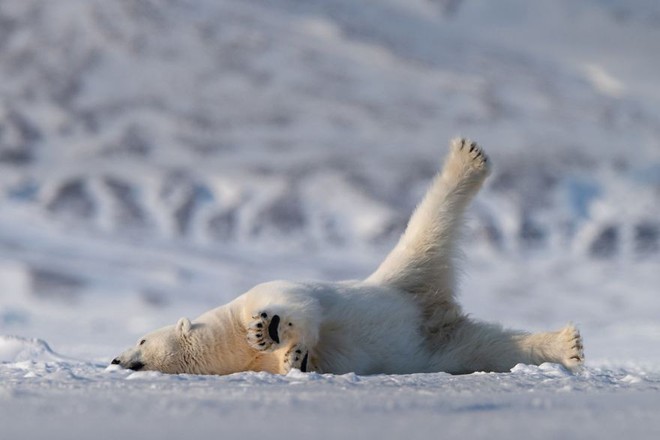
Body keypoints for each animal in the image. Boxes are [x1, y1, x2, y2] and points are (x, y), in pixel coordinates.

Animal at [112, 139, 584, 376]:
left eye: (141, 340)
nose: (116, 360)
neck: (228, 342)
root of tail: (431, 309)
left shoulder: (261, 293)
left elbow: (297, 306)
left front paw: (270, 330)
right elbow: (301, 362)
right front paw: (294, 359)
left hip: (403, 272)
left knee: (429, 223)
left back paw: (466, 158)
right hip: (437, 340)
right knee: (488, 348)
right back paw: (568, 346)